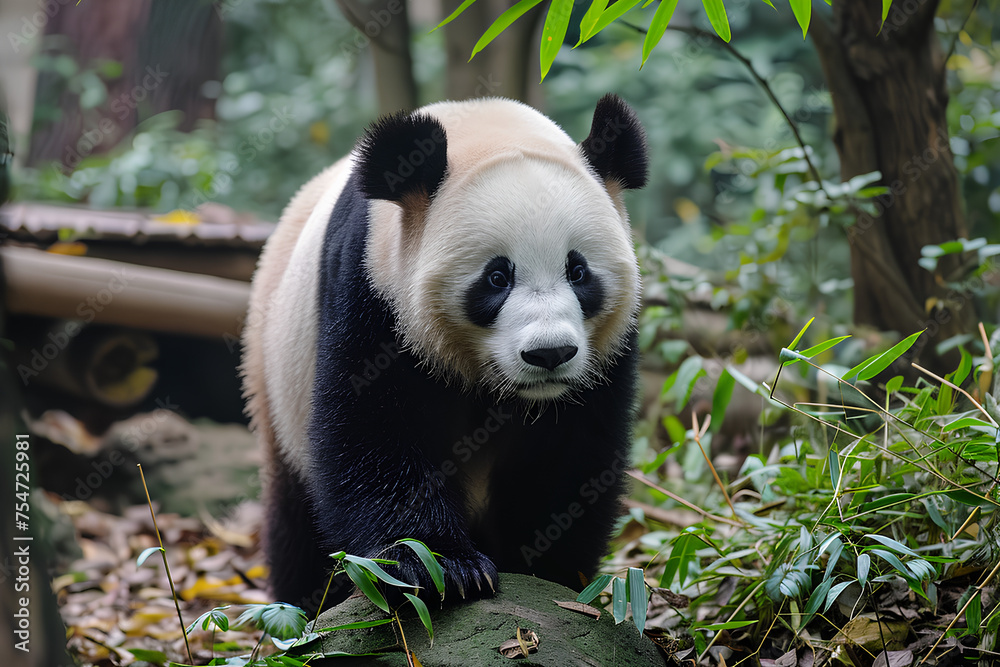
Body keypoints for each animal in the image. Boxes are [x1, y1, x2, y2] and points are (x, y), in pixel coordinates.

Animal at [241, 94, 647, 612]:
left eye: (578, 272)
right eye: (497, 277)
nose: (550, 354)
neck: (485, 129)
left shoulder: (607, 352)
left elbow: (569, 459)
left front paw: (545, 573)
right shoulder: (372, 289)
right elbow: (374, 431)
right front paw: (442, 568)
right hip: (276, 377)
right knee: (296, 523)